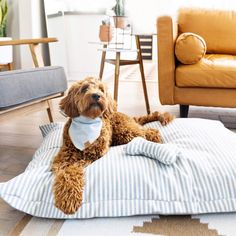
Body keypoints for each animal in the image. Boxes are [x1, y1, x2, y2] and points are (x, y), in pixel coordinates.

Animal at [51, 77, 173, 214]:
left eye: (101, 89)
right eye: (84, 88)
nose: (96, 95)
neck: (88, 123)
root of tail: (125, 115)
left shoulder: (91, 156)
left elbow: (72, 169)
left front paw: (69, 198)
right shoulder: (63, 160)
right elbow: (66, 172)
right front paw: (68, 197)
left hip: (125, 130)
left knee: (148, 131)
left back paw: (155, 136)